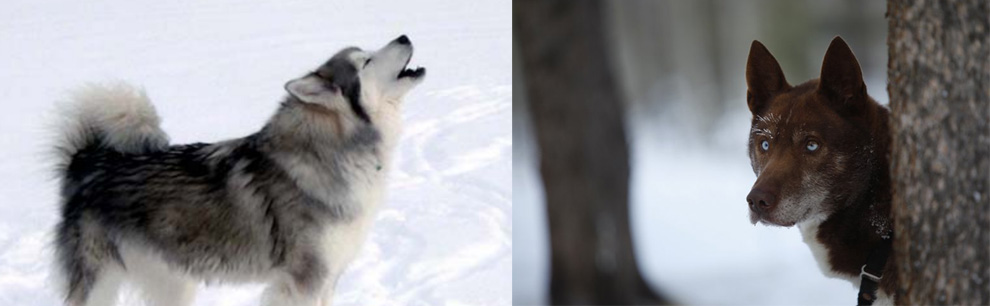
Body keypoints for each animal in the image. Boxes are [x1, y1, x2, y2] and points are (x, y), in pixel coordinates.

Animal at [53, 34, 426, 304]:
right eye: (366, 61)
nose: (404, 36)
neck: (332, 155)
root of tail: (86, 158)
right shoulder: (303, 281)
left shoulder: (327, 279)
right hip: (102, 283)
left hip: (172, 284)